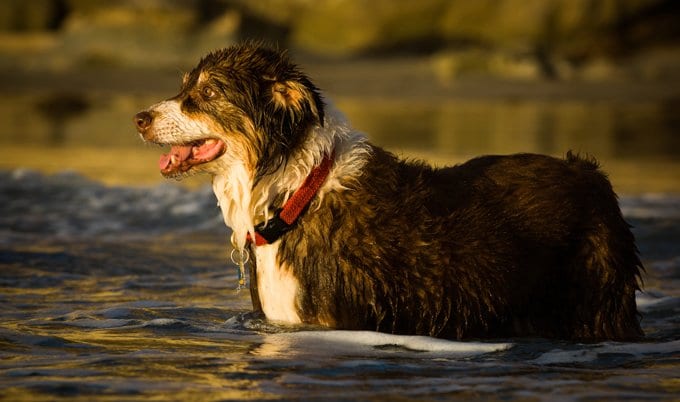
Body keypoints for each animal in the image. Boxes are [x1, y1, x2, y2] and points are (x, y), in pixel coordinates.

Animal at [134, 43, 644, 340]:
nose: (139, 118)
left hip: (598, 300)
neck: (295, 192)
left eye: (207, 94)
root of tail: (590, 172)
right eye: (183, 88)